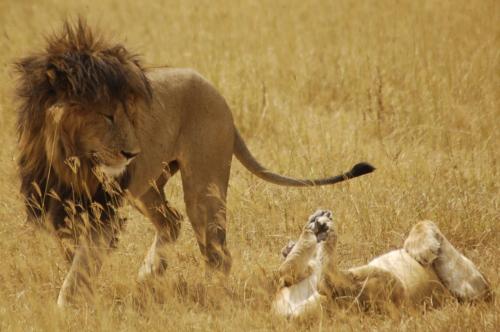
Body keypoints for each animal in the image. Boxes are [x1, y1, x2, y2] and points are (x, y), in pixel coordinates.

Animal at [14, 20, 376, 306]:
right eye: (107, 115)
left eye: (131, 114)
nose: (132, 153)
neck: (69, 157)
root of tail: (220, 97)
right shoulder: (48, 202)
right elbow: (69, 252)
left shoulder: (103, 211)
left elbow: (82, 264)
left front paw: (66, 306)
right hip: (145, 185)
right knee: (171, 221)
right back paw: (148, 275)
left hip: (202, 187)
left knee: (217, 253)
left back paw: (211, 294)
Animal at [274, 210, 492, 320]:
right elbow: (427, 221)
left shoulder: (474, 287)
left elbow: (427, 222)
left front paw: (421, 249)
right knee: (286, 273)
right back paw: (312, 230)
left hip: (389, 287)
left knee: (326, 280)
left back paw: (321, 229)